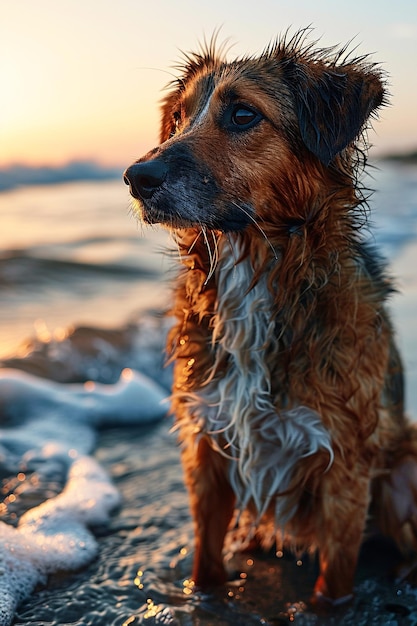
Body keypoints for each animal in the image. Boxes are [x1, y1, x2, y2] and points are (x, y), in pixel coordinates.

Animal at [122, 31, 416, 604]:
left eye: (242, 115)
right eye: (179, 117)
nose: (136, 177)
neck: (254, 274)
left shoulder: (345, 464)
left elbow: (332, 584)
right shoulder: (207, 449)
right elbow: (206, 563)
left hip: (405, 468)